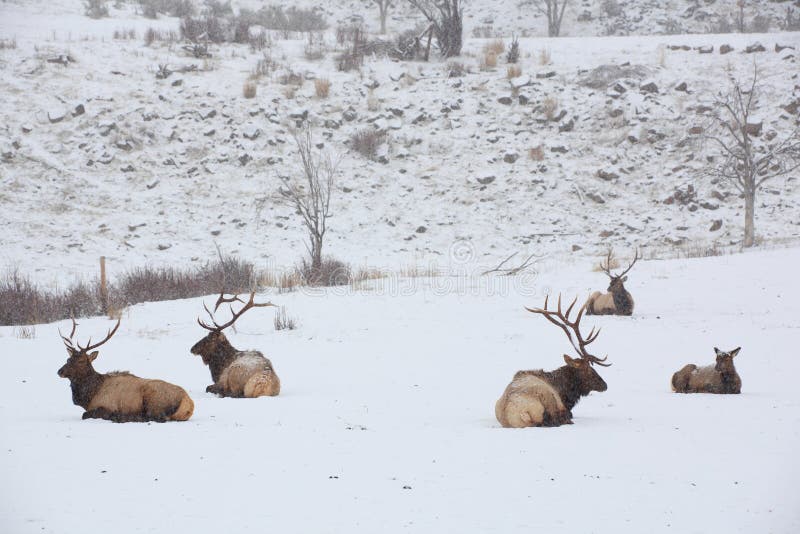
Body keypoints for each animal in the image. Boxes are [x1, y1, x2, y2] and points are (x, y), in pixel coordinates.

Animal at [57, 320, 194, 426]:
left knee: (155, 417)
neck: (90, 395)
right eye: (68, 359)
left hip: (154, 400)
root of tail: (189, 404)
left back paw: (119, 417)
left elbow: (85, 414)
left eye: (81, 361)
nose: (60, 371)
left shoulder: (106, 405)